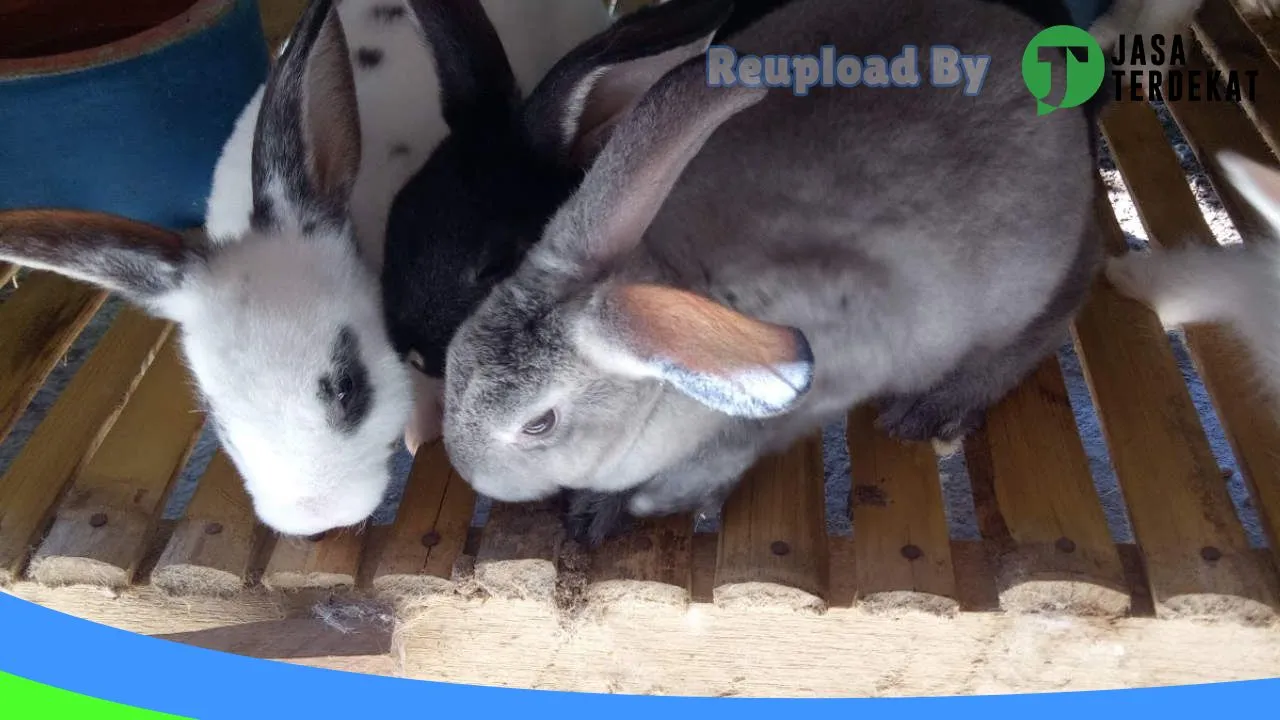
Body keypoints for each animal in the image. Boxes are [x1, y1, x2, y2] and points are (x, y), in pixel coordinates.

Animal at [435, 0, 1116, 545]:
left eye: (538, 423)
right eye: (454, 357)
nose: (469, 473)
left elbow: (730, 454)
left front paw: (642, 503)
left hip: (1024, 283)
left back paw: (933, 407)